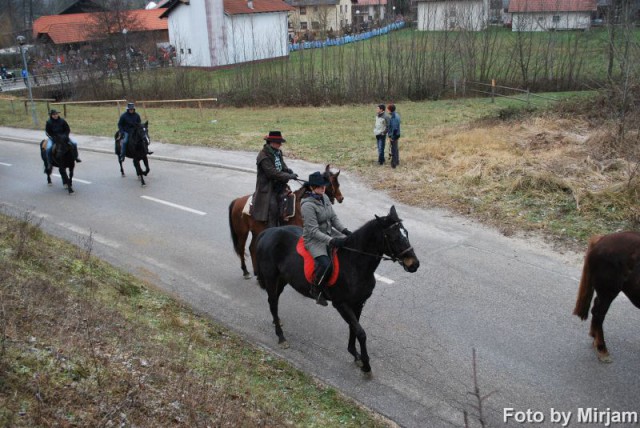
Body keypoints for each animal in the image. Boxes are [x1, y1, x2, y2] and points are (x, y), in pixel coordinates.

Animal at [255, 206, 420, 372]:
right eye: (393, 237)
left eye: (406, 233)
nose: (414, 264)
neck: (354, 263)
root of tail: (267, 232)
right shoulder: (341, 304)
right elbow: (360, 332)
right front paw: (365, 364)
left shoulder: (358, 304)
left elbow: (354, 328)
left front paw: (355, 354)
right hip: (271, 278)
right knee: (273, 303)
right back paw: (281, 336)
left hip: (282, 279)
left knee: (274, 300)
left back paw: (277, 322)